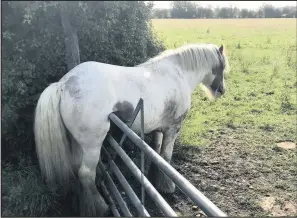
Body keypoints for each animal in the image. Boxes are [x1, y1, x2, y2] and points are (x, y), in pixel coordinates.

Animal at [34, 43, 229, 215]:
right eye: (222, 67)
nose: (221, 90)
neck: (177, 73)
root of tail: (63, 84)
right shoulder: (173, 129)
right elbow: (166, 157)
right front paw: (167, 187)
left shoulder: (159, 130)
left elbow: (157, 155)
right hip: (92, 145)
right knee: (85, 174)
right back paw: (101, 207)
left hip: (77, 143)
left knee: (77, 169)